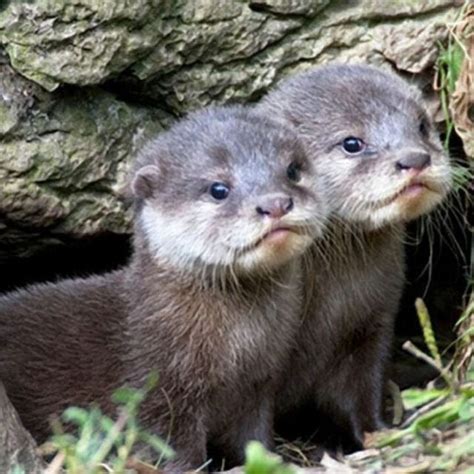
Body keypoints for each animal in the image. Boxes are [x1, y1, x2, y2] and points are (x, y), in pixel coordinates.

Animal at [0, 105, 330, 472]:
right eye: (218, 188)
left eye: (293, 170)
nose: (275, 204)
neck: (237, 351)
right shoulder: (156, 389)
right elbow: (173, 449)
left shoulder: (258, 386)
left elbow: (253, 437)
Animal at [256, 65, 452, 454]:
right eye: (352, 143)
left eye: (422, 125)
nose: (415, 159)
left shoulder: (369, 326)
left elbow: (359, 393)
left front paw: (380, 432)